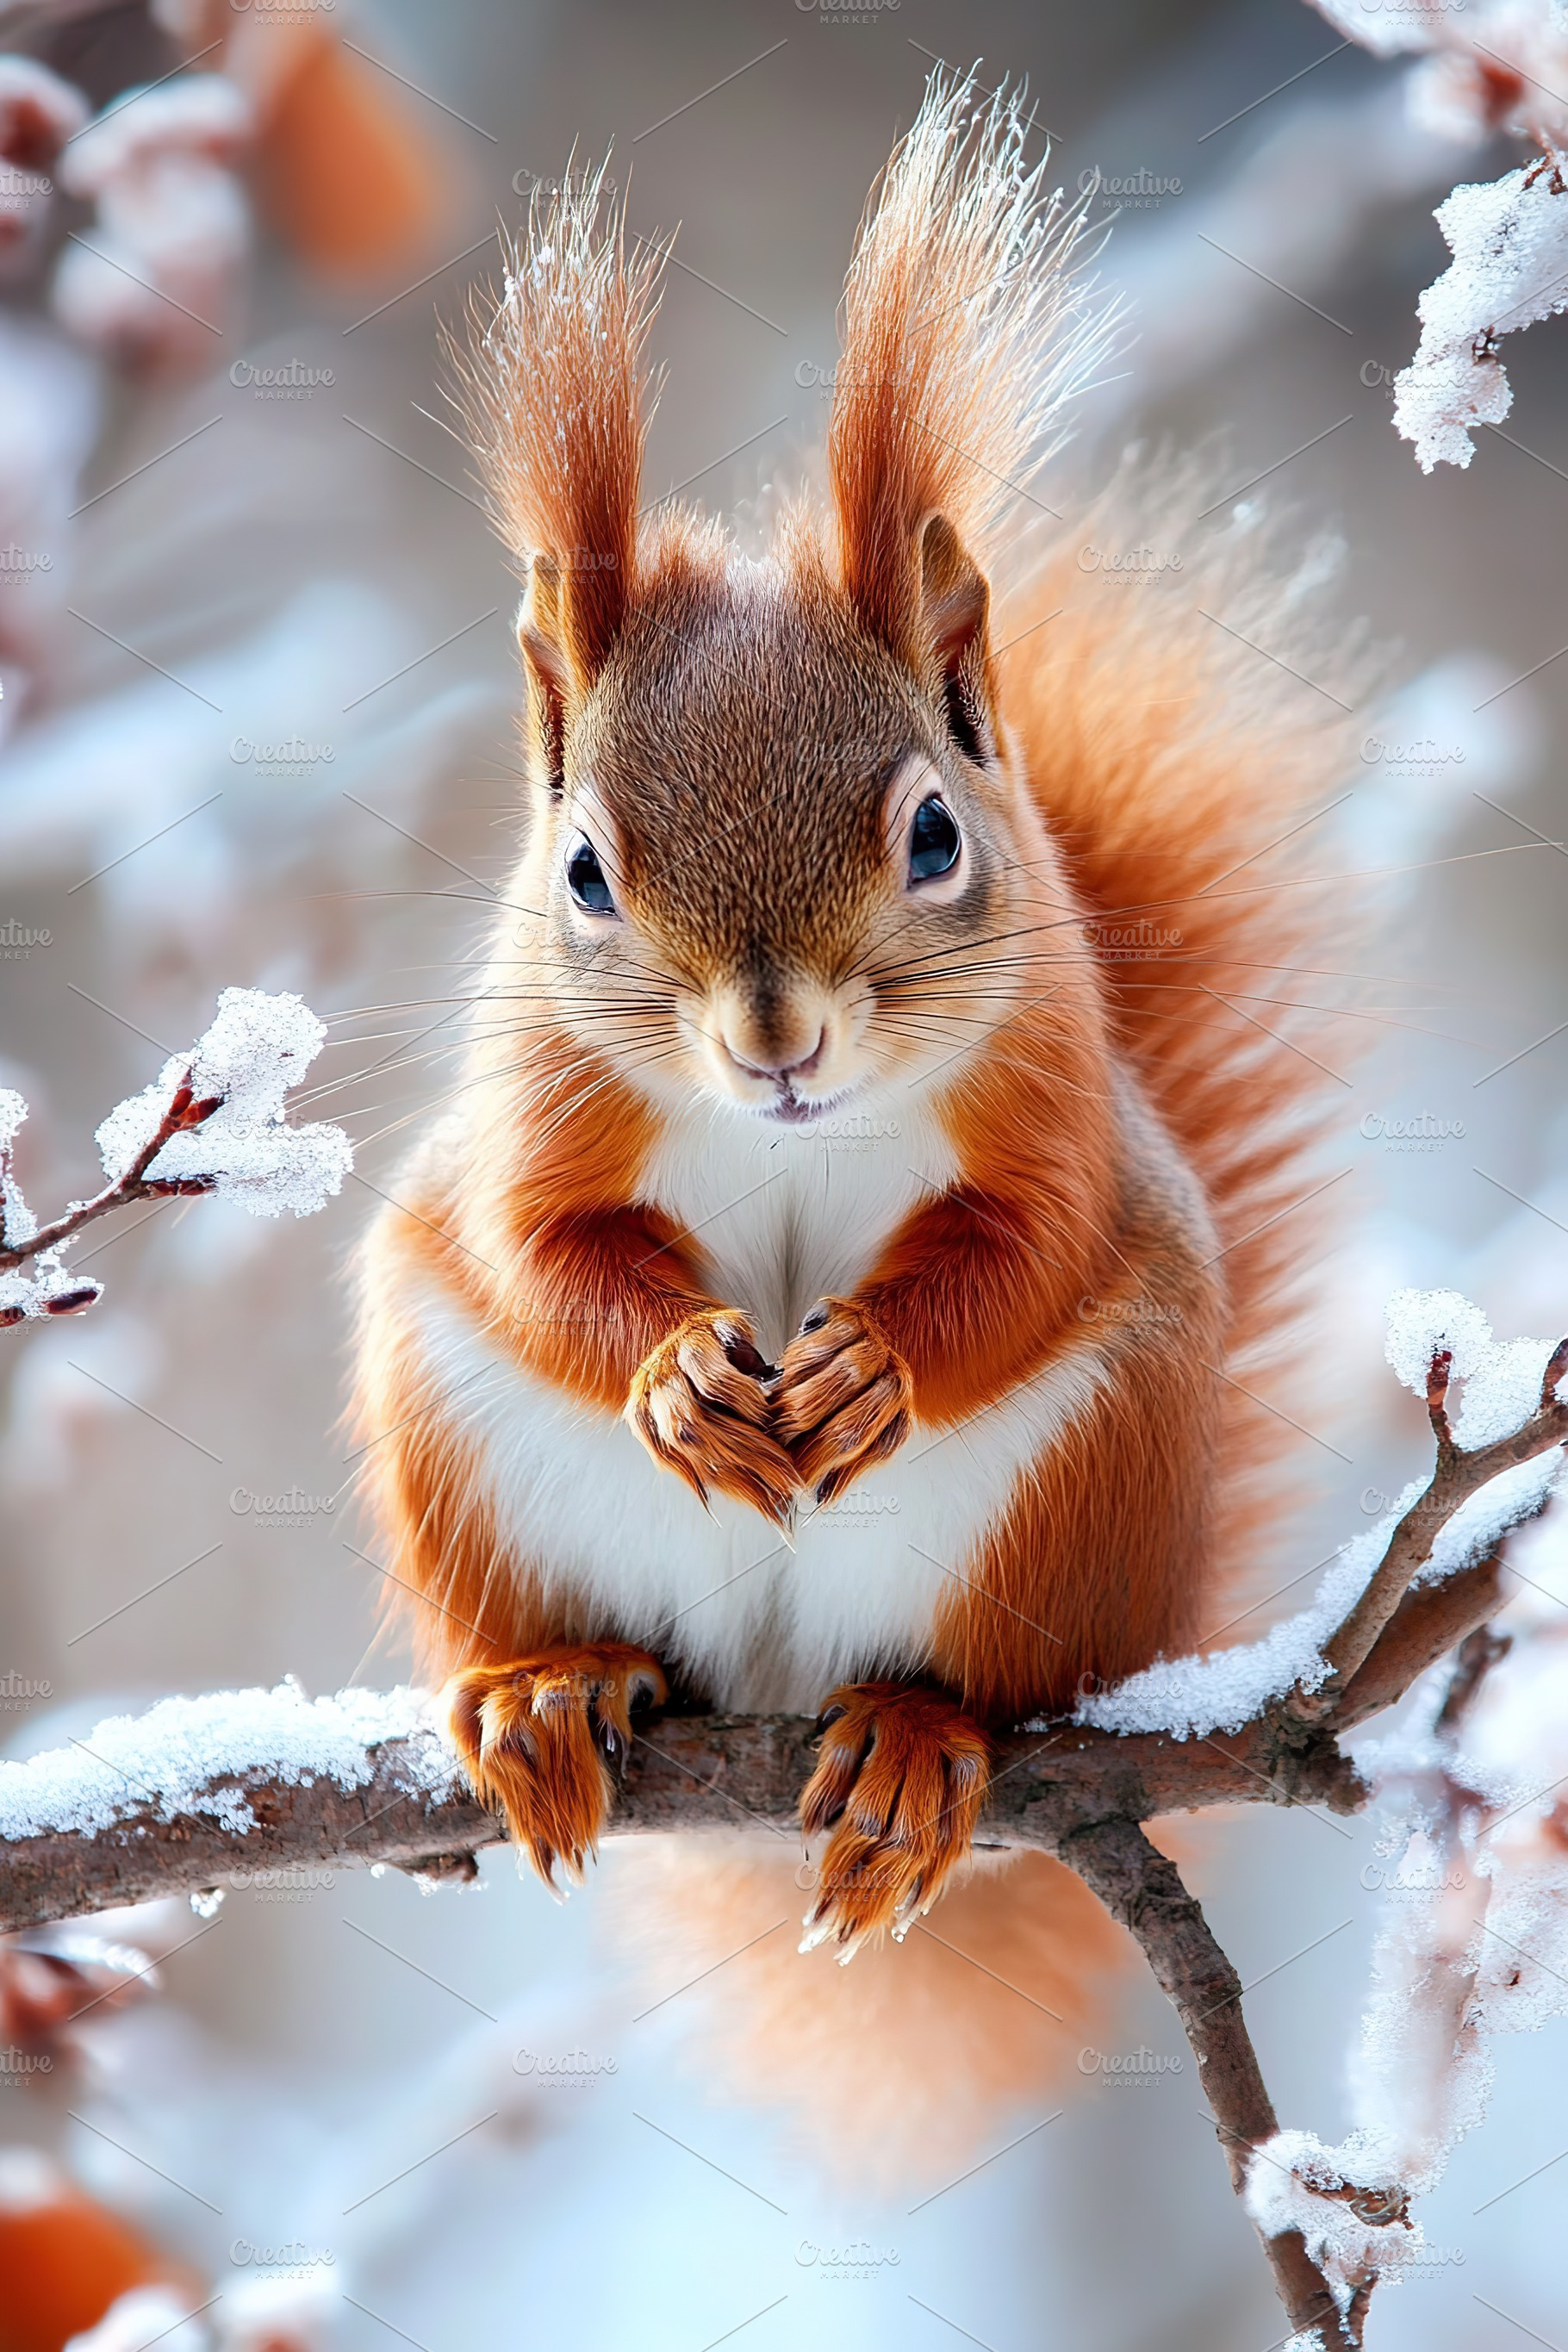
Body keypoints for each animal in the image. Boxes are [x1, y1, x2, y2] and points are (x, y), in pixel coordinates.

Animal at [352, 70, 1357, 2004]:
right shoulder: (535, 1110)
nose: (775, 1038)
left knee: (979, 1681)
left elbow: (1029, 1251)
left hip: (1075, 1501)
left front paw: (873, 1363)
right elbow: (538, 1253)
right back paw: (546, 1693)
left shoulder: (1053, 1096)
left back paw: (912, 1744)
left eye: (936, 835)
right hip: (464, 1455)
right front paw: (681, 1372)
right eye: (581, 868)